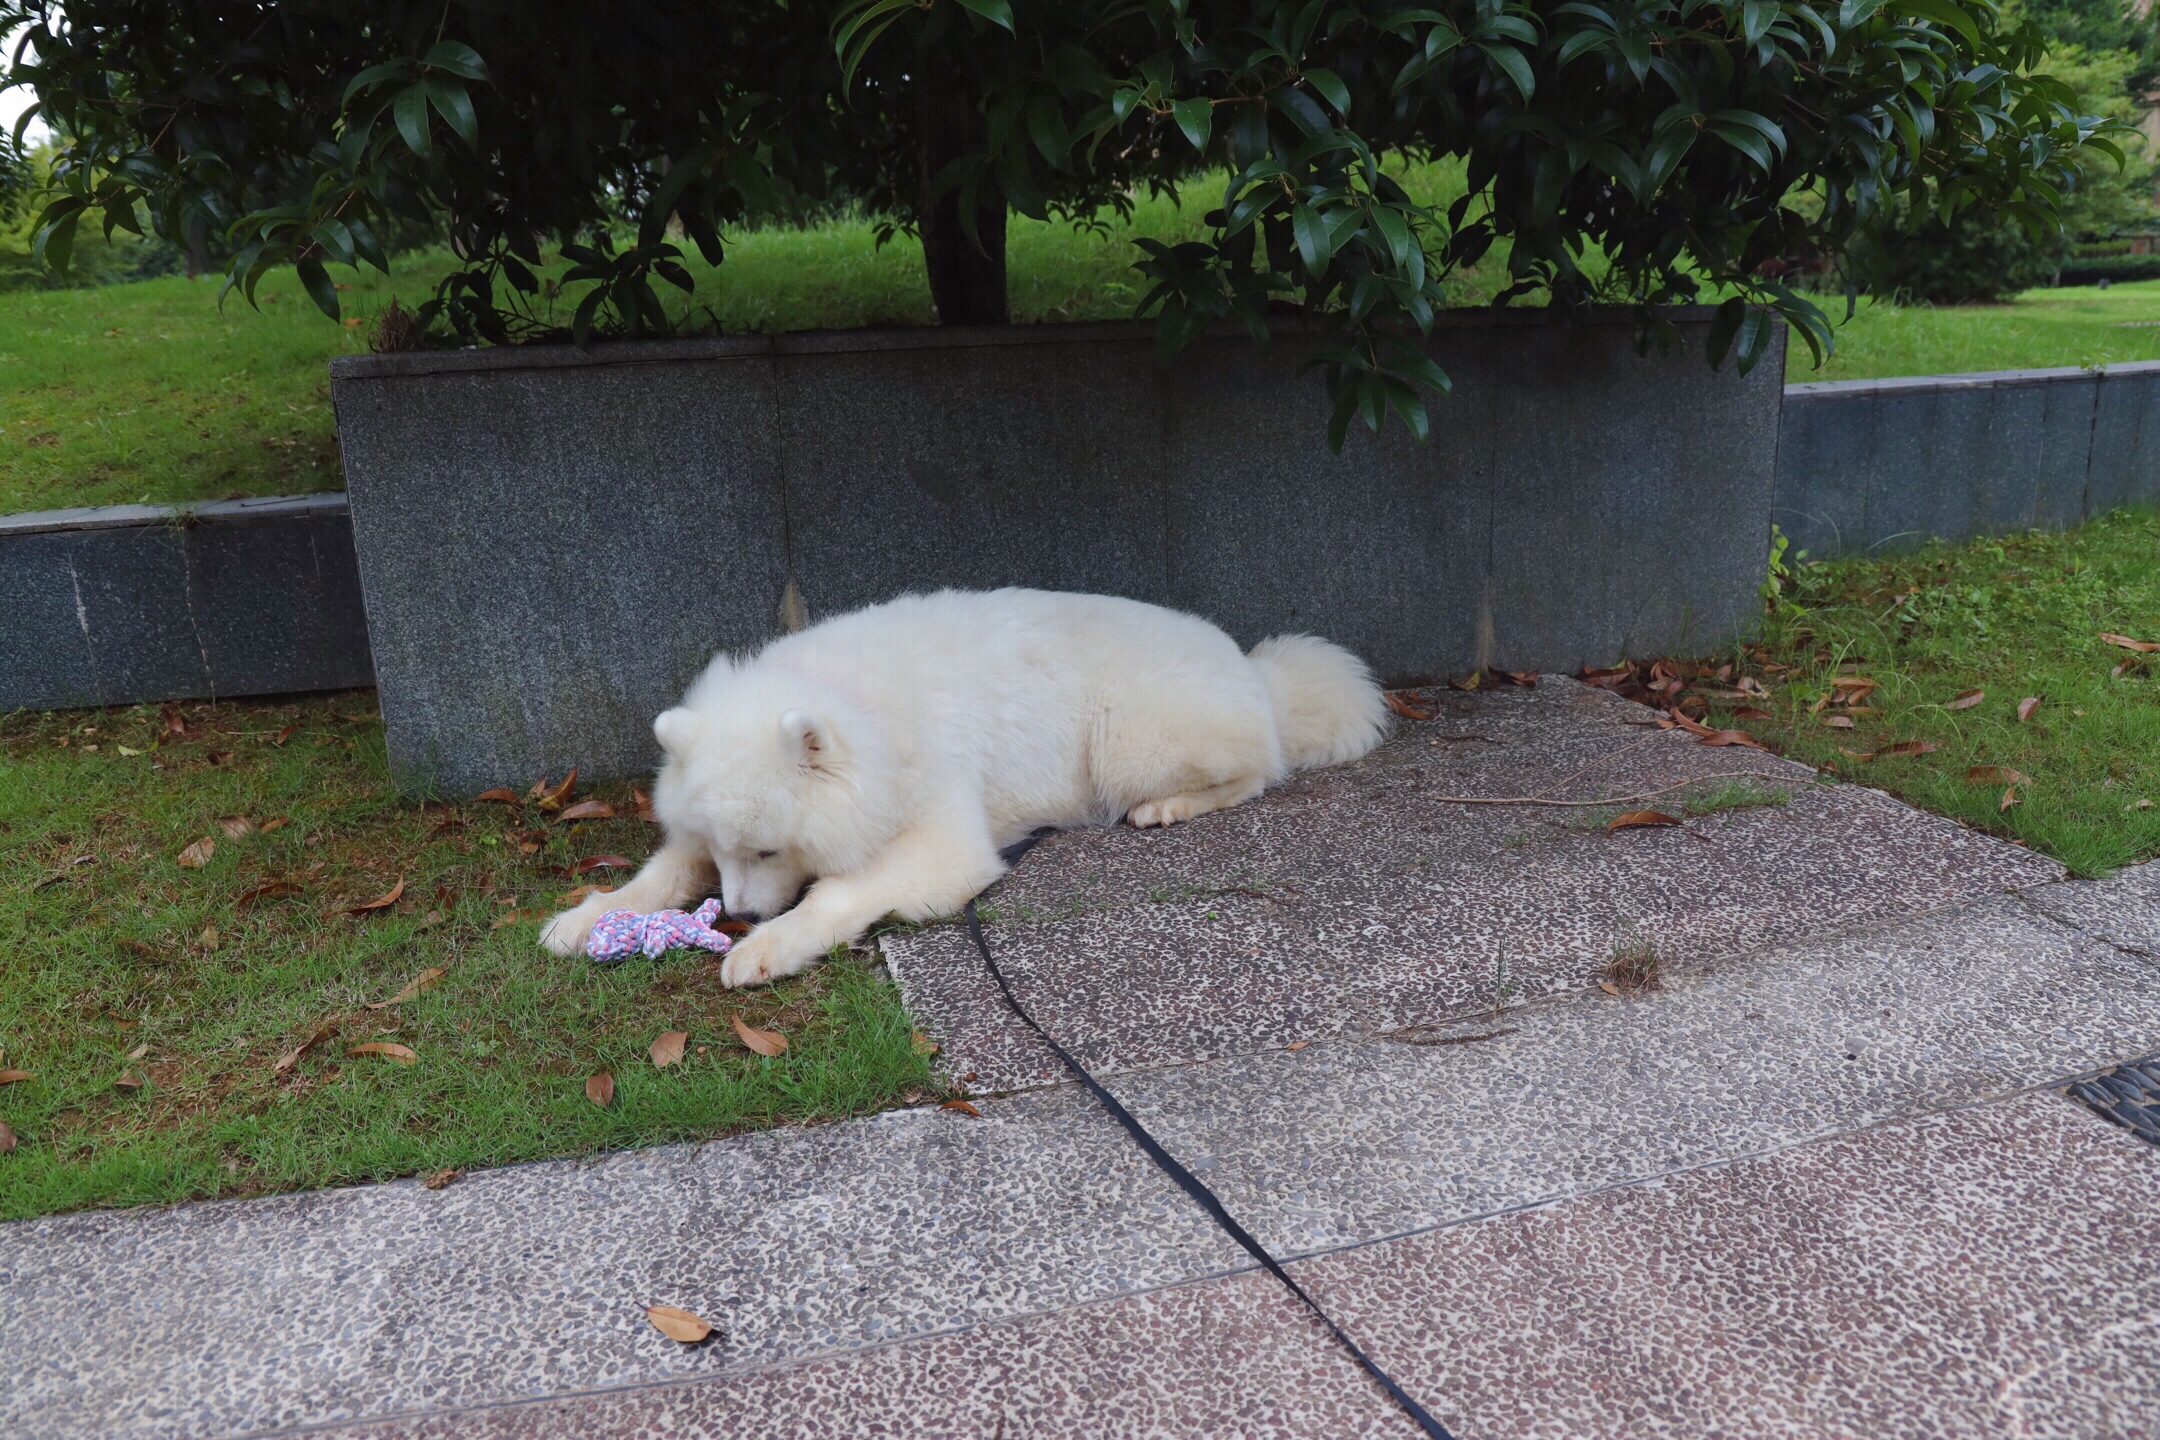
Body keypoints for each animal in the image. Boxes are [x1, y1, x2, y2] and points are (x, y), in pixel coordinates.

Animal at [540, 587, 1382, 993]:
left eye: (771, 851)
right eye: (725, 852)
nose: (740, 914)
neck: (865, 717)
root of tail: (1254, 671)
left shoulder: (943, 842)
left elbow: (838, 893)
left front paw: (769, 948)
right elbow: (655, 877)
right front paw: (587, 918)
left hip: (1128, 743)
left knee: (1254, 771)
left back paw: (1169, 807)